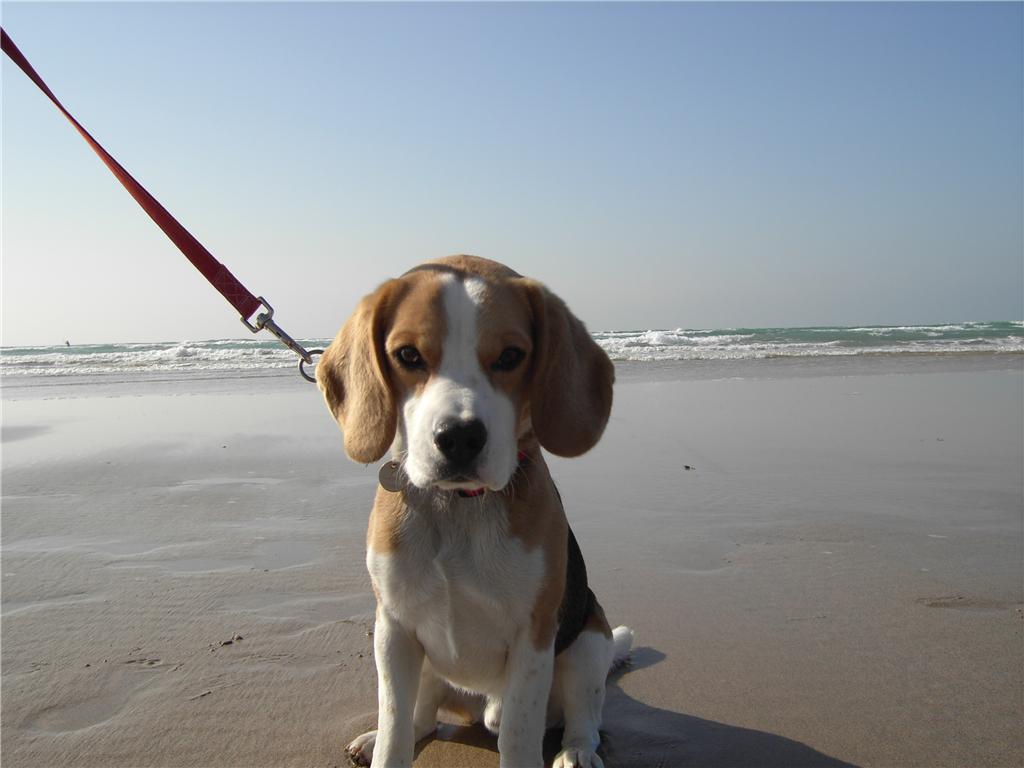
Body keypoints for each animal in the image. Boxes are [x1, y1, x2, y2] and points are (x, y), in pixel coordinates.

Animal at [316, 255, 633, 768]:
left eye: (510, 356)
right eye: (408, 356)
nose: (460, 438)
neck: (457, 509)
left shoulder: (534, 636)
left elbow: (519, 739)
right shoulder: (393, 628)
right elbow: (395, 729)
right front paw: (383, 742)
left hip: (588, 641)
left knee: (583, 715)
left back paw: (578, 752)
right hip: (427, 665)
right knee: (420, 719)